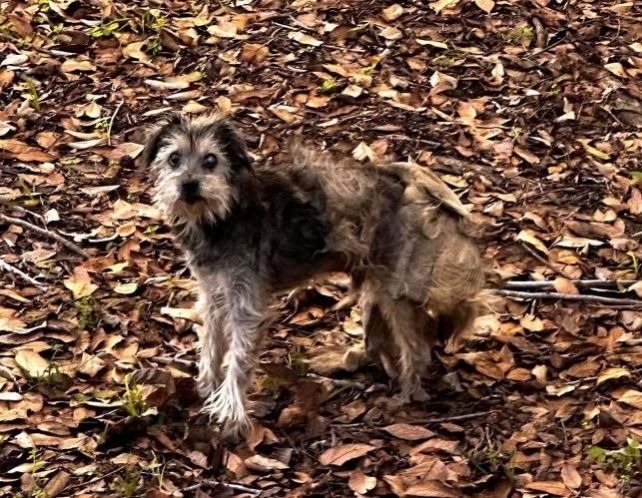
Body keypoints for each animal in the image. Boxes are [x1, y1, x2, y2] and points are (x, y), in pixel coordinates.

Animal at [142, 112, 482, 436]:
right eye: (174, 159)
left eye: (211, 160)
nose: (188, 185)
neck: (223, 214)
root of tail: (412, 184)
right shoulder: (214, 294)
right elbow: (212, 344)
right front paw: (207, 386)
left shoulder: (246, 305)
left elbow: (238, 359)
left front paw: (231, 413)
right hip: (376, 287)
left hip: (394, 289)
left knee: (417, 348)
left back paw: (406, 396)